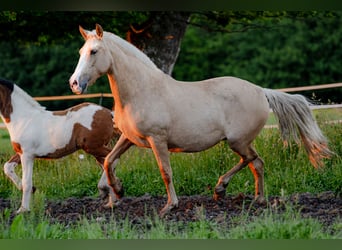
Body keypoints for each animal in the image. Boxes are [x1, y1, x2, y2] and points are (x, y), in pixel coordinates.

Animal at [0, 78, 120, 213]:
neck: (24, 118)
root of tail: (108, 113)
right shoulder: (21, 152)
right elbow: (7, 167)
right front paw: (32, 190)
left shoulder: (27, 155)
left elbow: (27, 182)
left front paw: (23, 209)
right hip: (95, 149)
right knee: (107, 164)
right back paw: (112, 201)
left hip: (93, 147)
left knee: (112, 160)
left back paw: (106, 191)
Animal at [68, 23, 332, 217]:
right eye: (80, 52)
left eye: (94, 51)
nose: (74, 84)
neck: (141, 90)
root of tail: (261, 91)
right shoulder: (129, 138)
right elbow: (108, 161)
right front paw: (118, 192)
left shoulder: (157, 139)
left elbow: (165, 171)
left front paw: (169, 206)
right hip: (240, 142)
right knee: (257, 163)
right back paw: (254, 198)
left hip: (237, 141)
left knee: (252, 160)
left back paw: (222, 189)